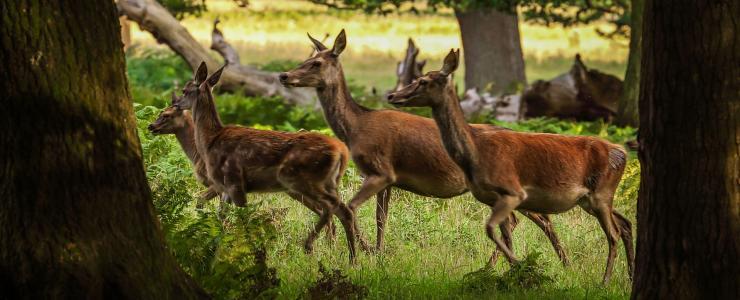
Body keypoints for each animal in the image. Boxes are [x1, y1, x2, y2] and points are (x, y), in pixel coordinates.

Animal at [176, 62, 356, 262]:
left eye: (185, 90)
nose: (175, 104)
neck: (210, 141)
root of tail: (342, 151)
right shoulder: (225, 188)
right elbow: (223, 218)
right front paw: (215, 252)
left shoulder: (234, 181)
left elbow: (244, 218)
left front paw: (253, 255)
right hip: (327, 181)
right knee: (341, 209)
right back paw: (351, 258)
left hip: (301, 179)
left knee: (333, 208)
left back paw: (312, 246)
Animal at [280, 29, 568, 266]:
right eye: (305, 59)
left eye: (316, 63)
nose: (284, 75)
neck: (356, 126)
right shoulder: (388, 179)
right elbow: (381, 218)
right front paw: (377, 252)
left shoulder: (381, 170)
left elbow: (356, 210)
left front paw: (366, 252)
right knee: (522, 219)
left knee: (539, 219)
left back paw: (551, 262)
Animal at [388, 49, 636, 284]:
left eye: (423, 81)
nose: (392, 95)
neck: (476, 151)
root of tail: (621, 152)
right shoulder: (495, 198)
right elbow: (504, 235)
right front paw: (514, 273)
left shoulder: (513, 192)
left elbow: (491, 230)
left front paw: (521, 268)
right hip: (589, 199)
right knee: (624, 223)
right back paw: (629, 275)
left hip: (600, 193)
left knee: (612, 233)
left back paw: (604, 281)